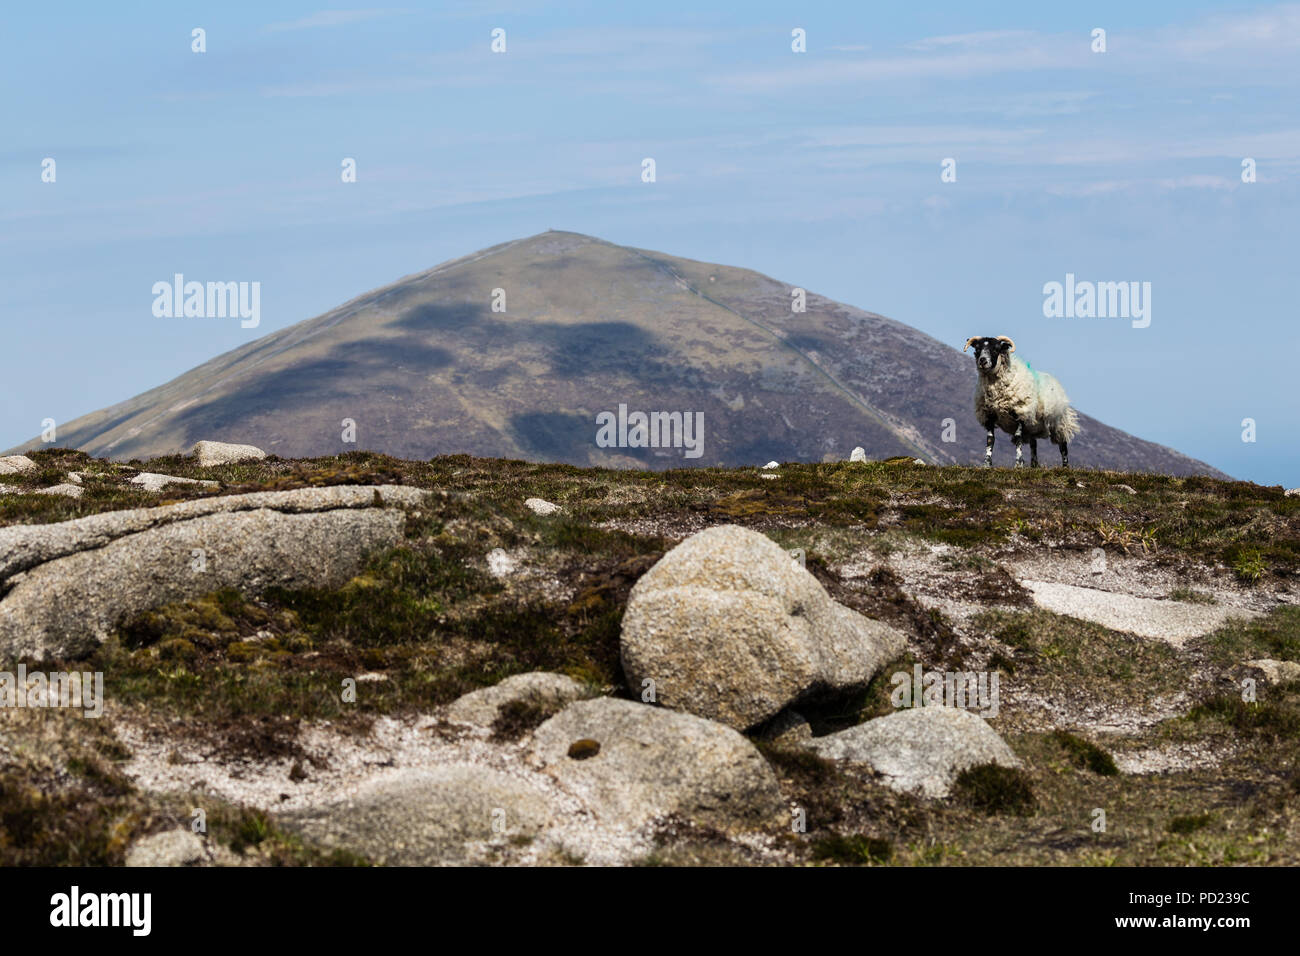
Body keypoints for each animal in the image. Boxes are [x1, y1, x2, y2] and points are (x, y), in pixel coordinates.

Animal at [967, 335, 1076, 470]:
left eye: (996, 349)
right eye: (977, 349)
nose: (982, 361)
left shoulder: (1020, 412)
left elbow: (1018, 438)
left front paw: (1018, 464)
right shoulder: (989, 415)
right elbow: (990, 440)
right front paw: (987, 464)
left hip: (1059, 423)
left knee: (1063, 446)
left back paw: (1065, 467)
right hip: (1033, 426)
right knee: (1034, 444)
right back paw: (1034, 465)